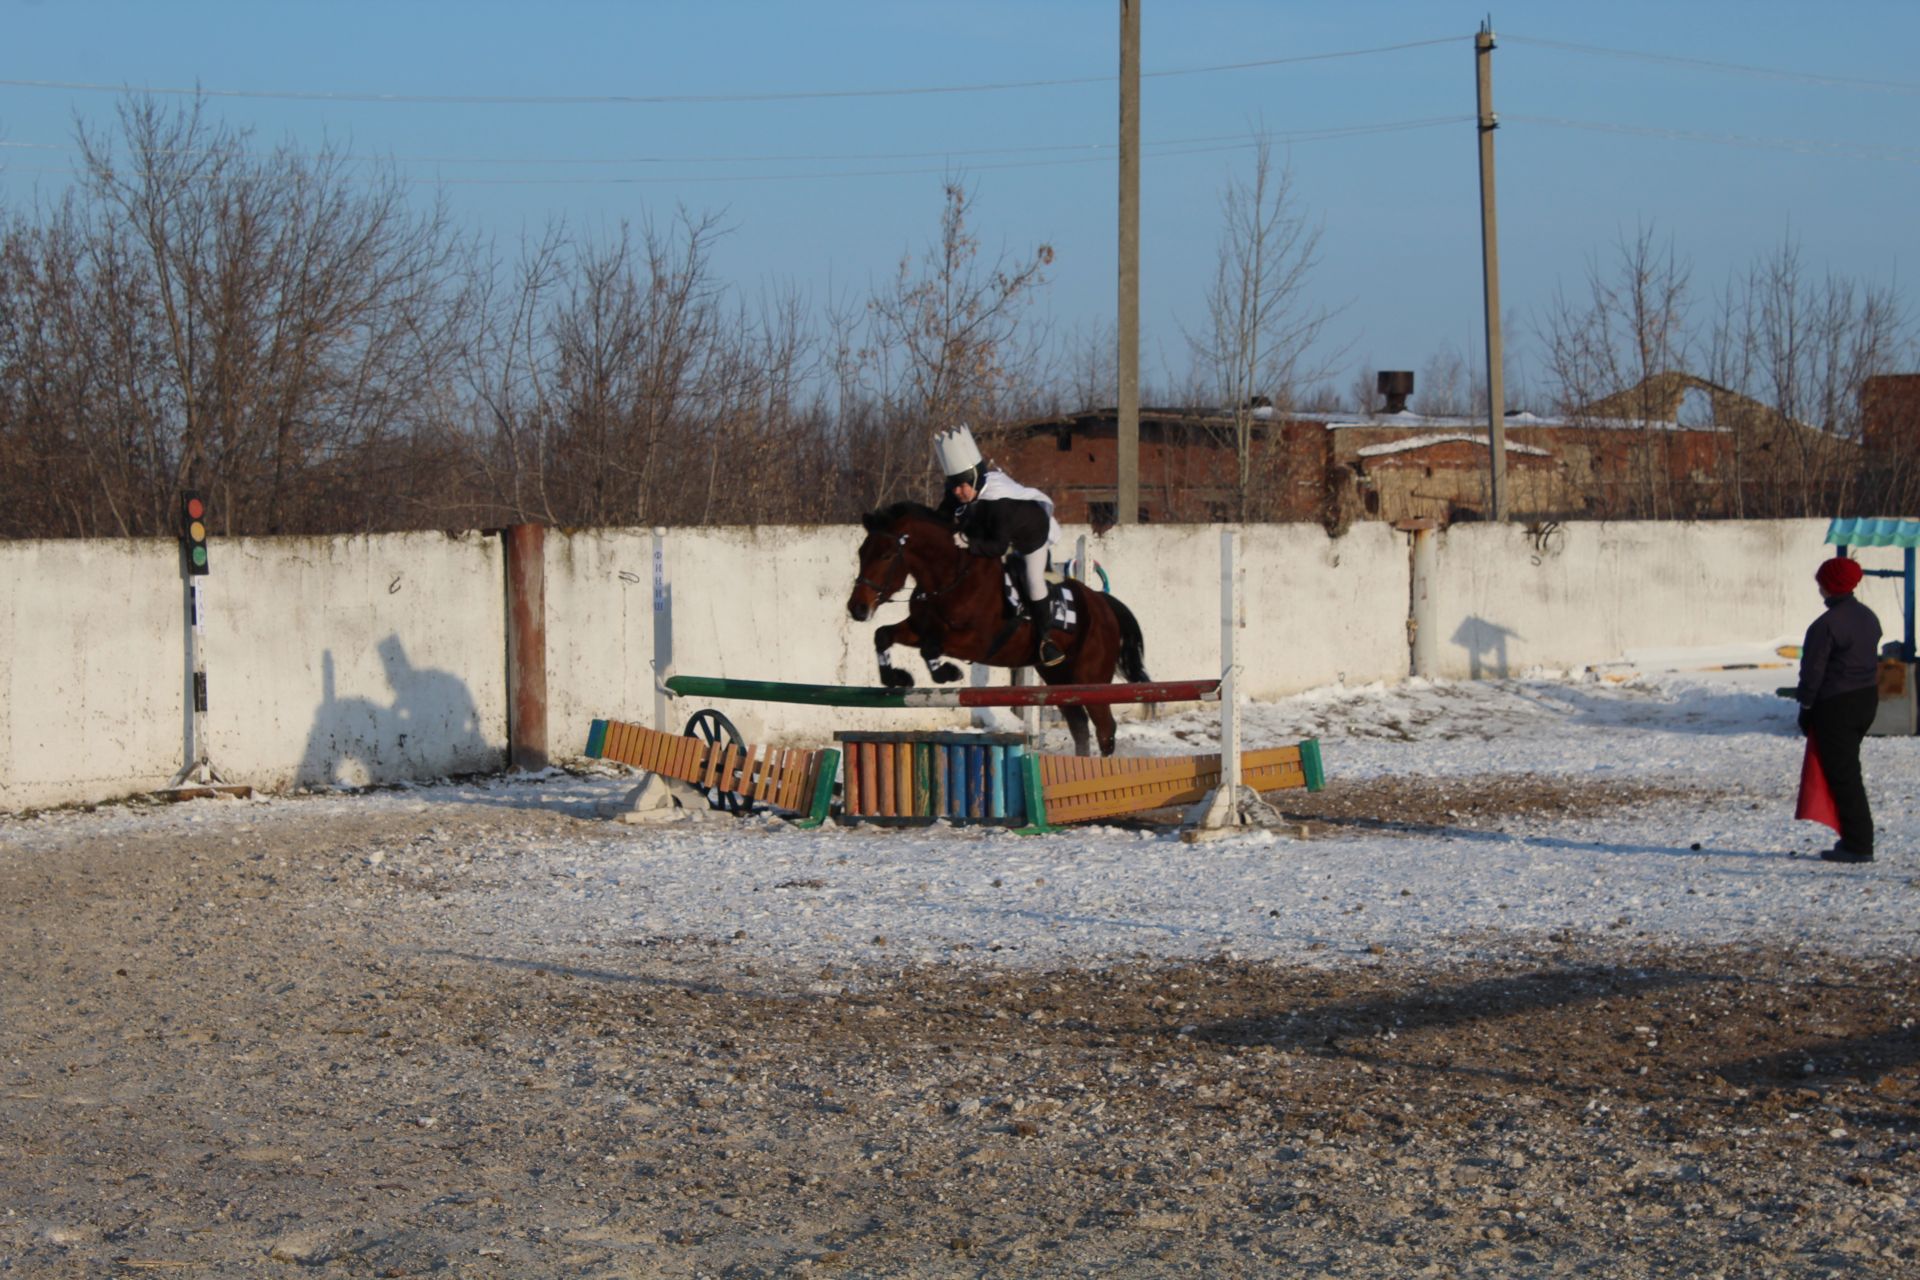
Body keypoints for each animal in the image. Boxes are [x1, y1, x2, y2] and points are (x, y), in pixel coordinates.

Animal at [844, 502, 1144, 759]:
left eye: (886, 555)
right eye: (860, 553)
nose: (857, 608)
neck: (950, 579)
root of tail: (1102, 602)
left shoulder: (976, 641)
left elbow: (931, 648)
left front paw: (947, 672)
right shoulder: (919, 628)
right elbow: (883, 635)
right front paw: (897, 677)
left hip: (1091, 679)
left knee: (1105, 729)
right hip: (1059, 678)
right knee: (1079, 725)